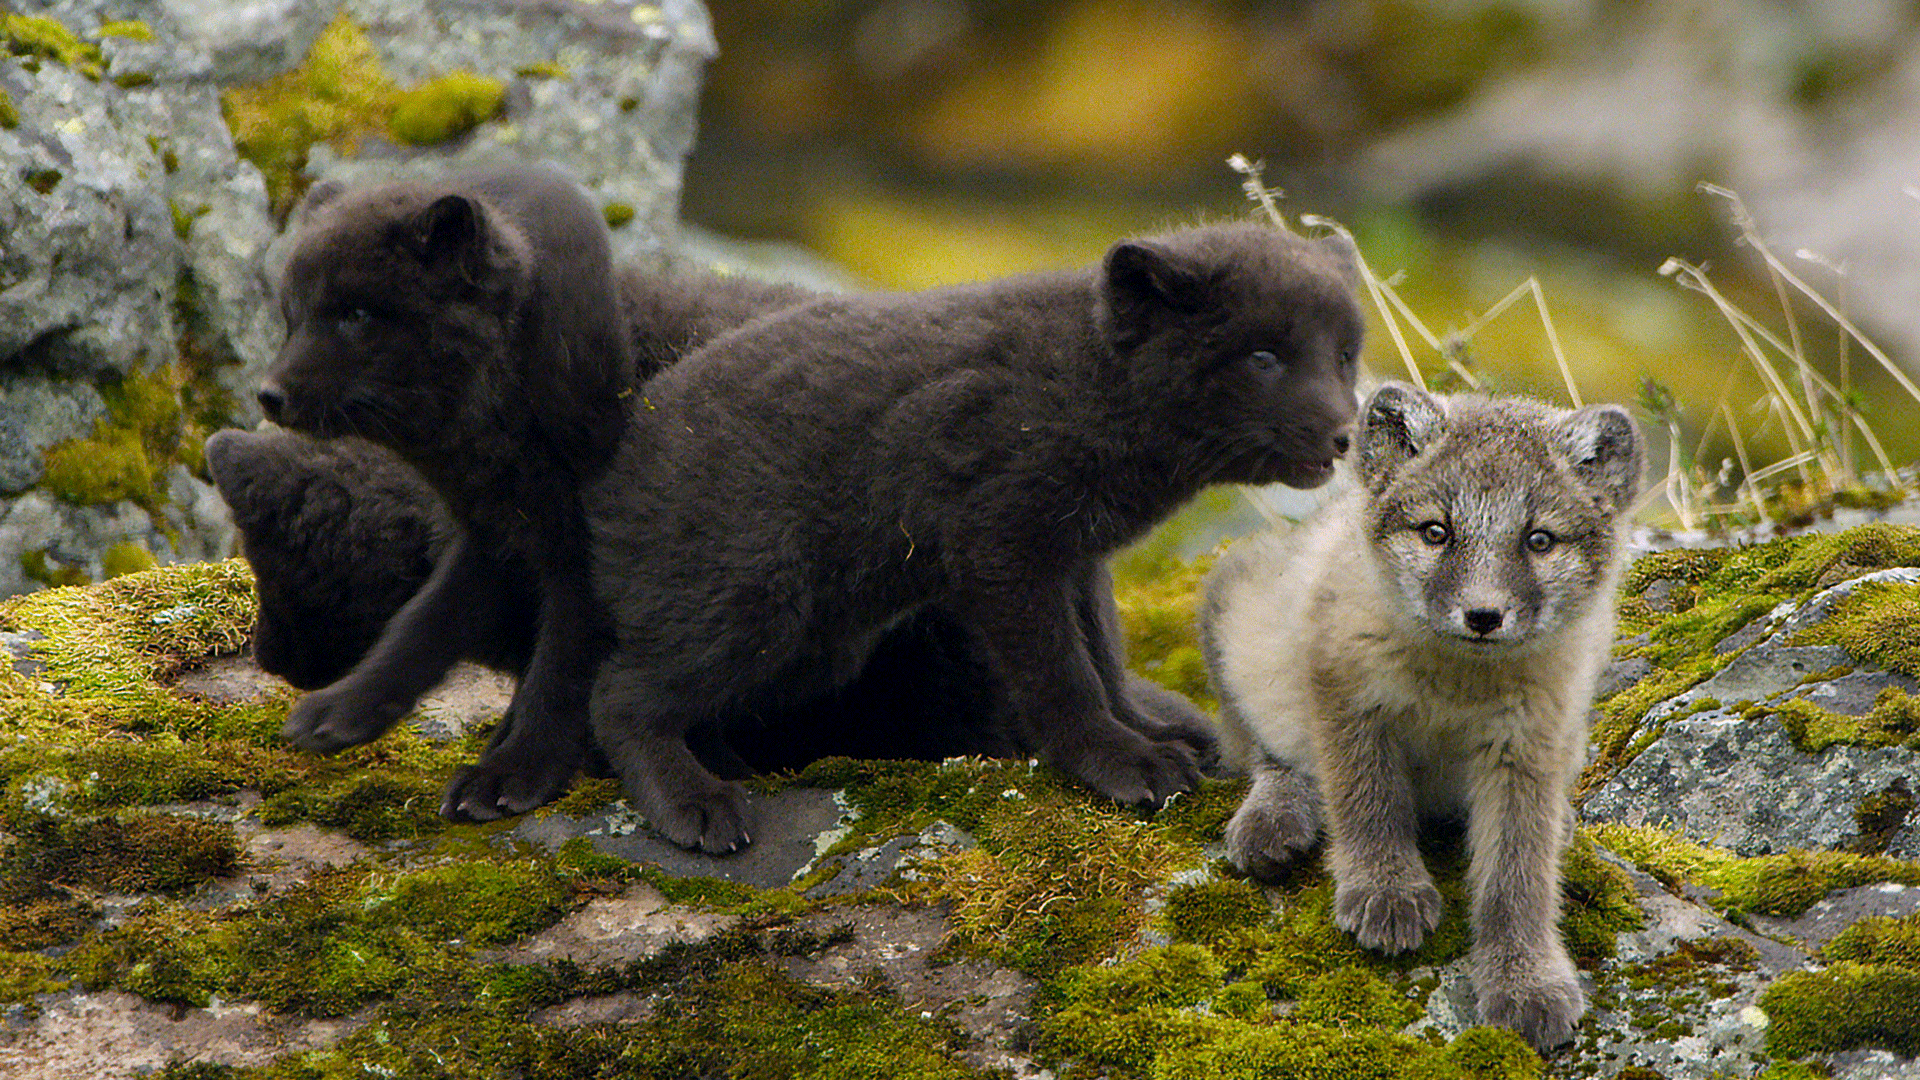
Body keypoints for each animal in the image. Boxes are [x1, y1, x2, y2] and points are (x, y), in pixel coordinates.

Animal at [1200, 382, 1642, 1052]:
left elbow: (1518, 877)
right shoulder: (1347, 696)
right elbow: (1369, 802)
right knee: (1266, 751)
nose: (1483, 615)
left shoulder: (1530, 747)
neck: (1454, 691)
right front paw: (1386, 893)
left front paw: (1527, 983)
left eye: (1539, 540)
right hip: (1236, 614)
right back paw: (1273, 822)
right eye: (1436, 531)